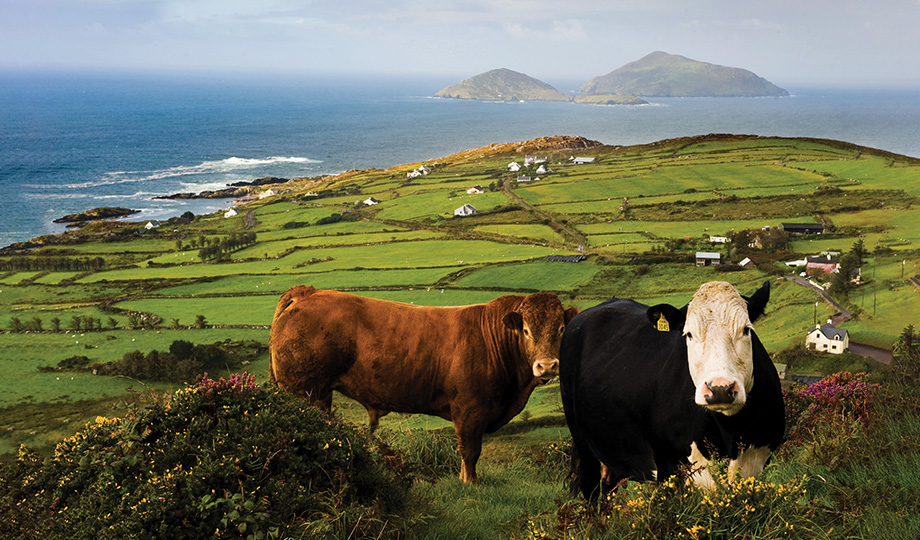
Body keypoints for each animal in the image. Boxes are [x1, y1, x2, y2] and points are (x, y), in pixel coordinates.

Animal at [270, 284, 580, 484]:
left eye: (561, 328)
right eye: (526, 330)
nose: (547, 365)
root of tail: (309, 292)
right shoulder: (469, 409)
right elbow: (470, 451)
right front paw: (470, 484)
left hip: (319, 394)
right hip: (303, 392)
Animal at [556, 280, 788, 500]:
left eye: (746, 329)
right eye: (689, 334)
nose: (720, 388)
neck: (729, 432)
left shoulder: (757, 461)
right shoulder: (669, 466)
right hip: (582, 441)